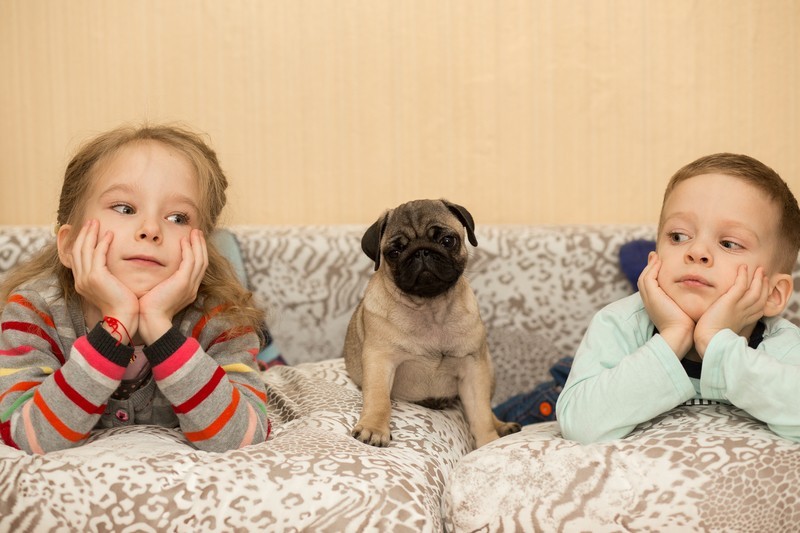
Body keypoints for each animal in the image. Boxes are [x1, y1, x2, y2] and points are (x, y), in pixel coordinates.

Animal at [342, 200, 520, 448]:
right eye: (394, 252)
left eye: (447, 240)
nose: (421, 251)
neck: (430, 308)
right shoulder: (380, 360)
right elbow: (379, 399)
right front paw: (374, 429)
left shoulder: (473, 369)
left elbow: (481, 413)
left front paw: (488, 442)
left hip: (488, 369)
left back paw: (502, 426)